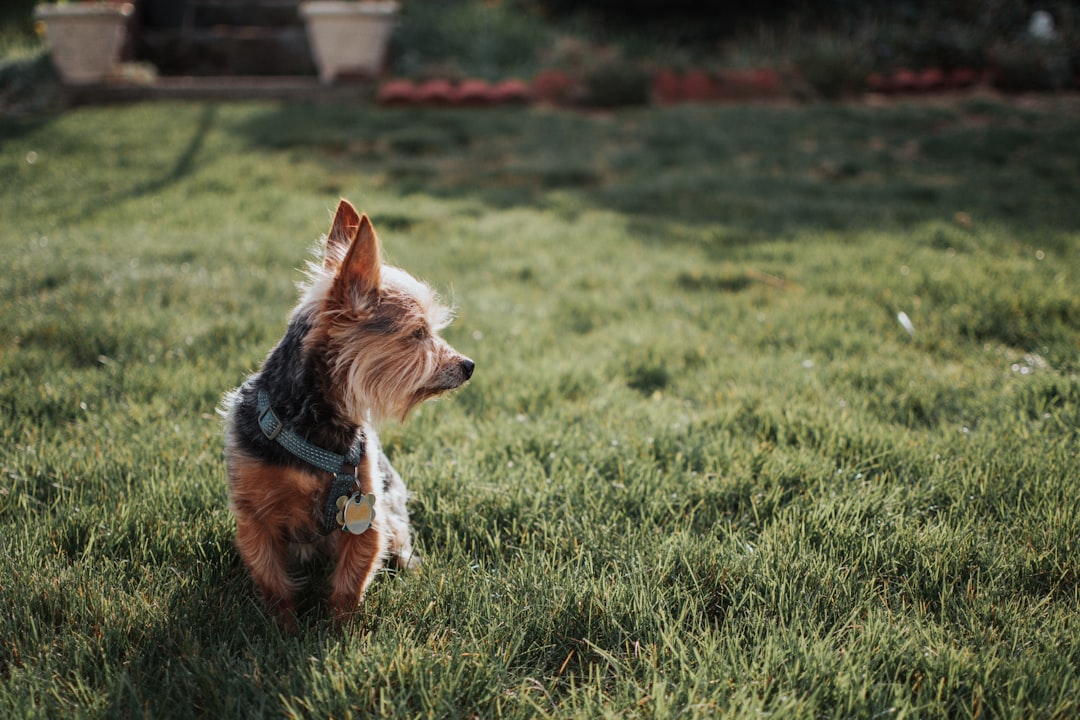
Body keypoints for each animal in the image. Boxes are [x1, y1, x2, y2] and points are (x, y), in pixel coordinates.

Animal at [220, 198, 473, 626]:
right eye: (418, 333)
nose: (469, 365)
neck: (312, 426)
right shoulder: (255, 517)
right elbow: (273, 580)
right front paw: (282, 630)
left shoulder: (367, 512)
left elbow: (350, 582)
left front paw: (341, 632)